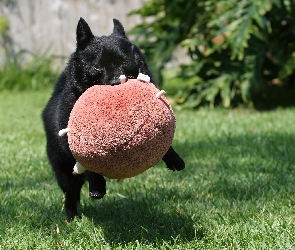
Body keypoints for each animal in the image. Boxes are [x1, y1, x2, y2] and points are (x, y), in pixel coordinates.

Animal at [42, 17, 185, 221]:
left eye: (124, 61)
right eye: (97, 67)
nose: (117, 82)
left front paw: (174, 158)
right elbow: (90, 165)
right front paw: (96, 186)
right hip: (64, 170)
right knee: (71, 193)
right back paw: (72, 216)